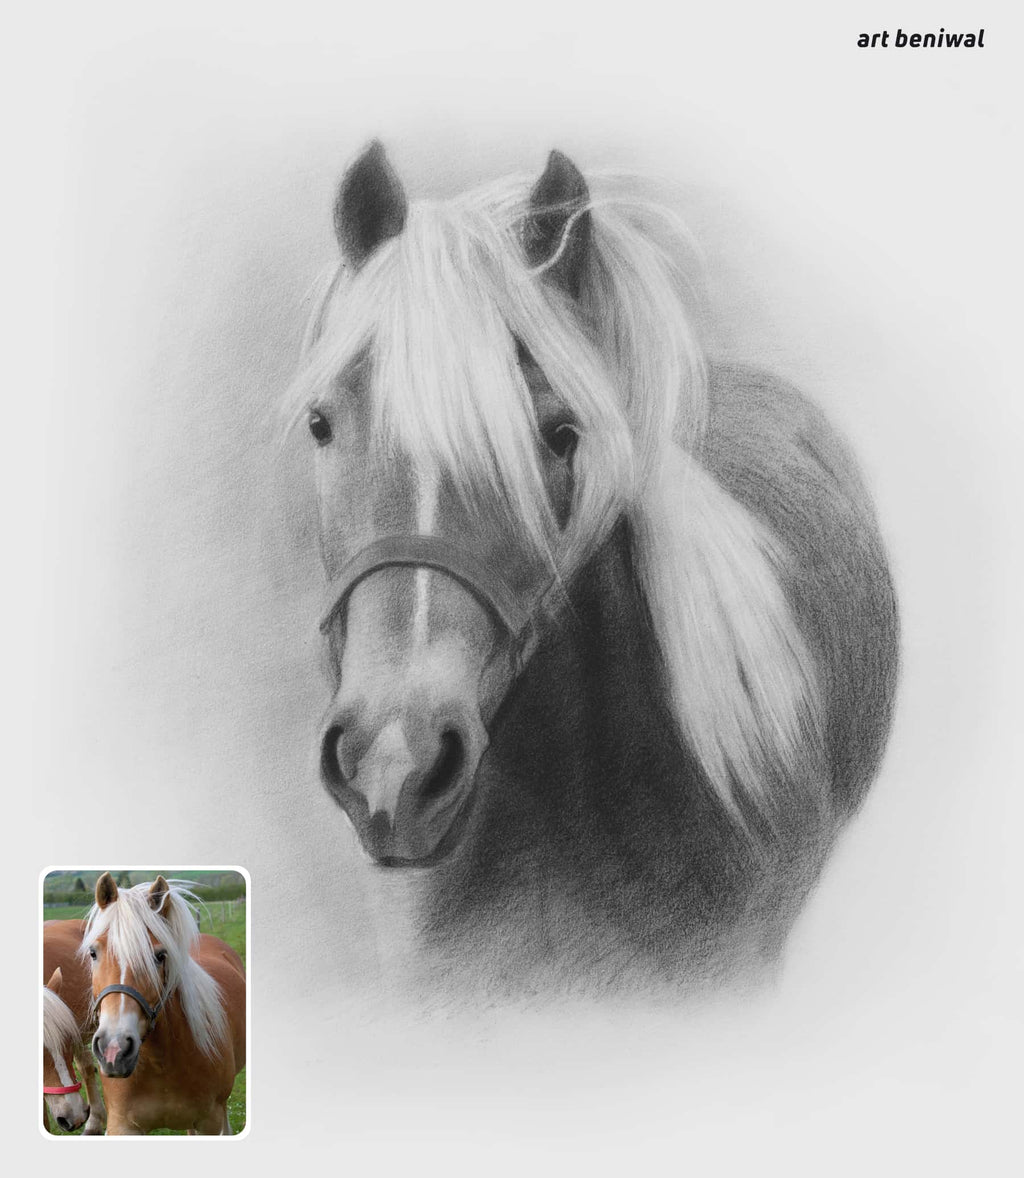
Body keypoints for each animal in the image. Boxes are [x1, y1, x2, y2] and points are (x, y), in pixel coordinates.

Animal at [83, 873, 245, 1134]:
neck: (161, 1062)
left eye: (160, 956)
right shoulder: (122, 1126)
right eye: (93, 953)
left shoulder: (209, 1121)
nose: (114, 1049)